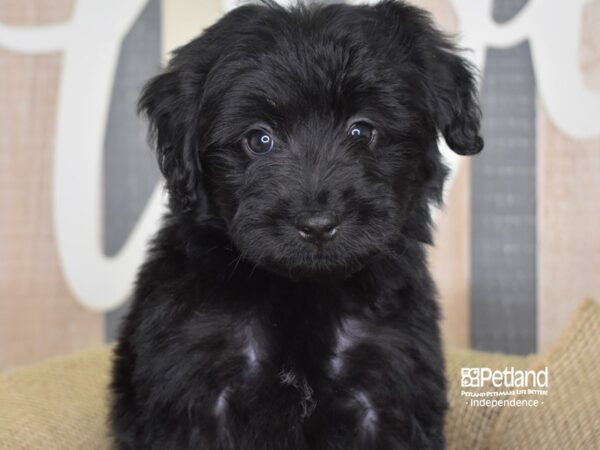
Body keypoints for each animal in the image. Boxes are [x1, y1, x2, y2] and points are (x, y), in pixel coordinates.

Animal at [109, 1, 482, 448]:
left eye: (362, 131)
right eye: (259, 139)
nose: (318, 224)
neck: (302, 290)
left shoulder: (389, 383)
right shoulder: (196, 388)